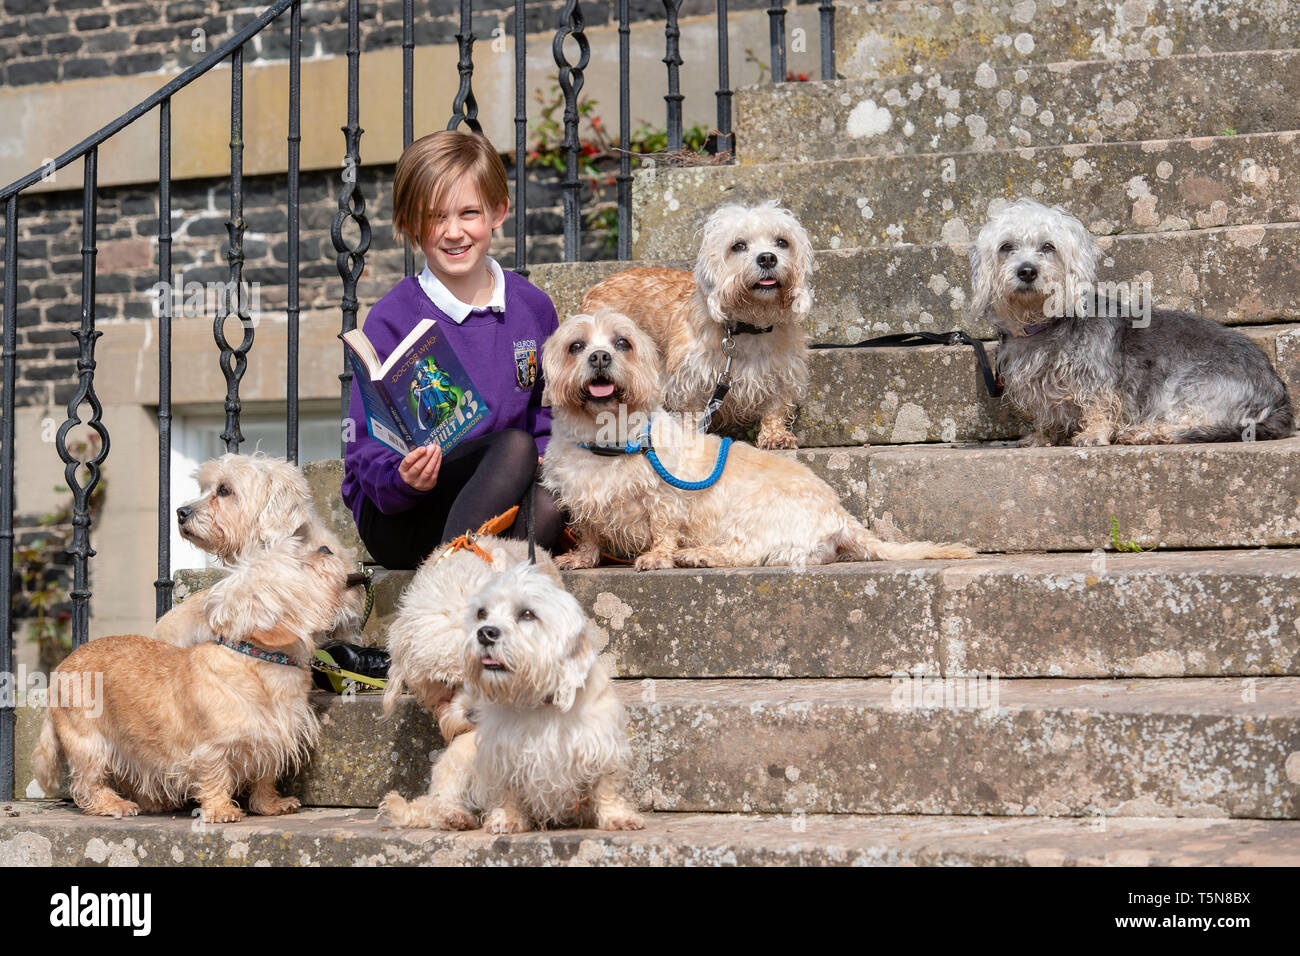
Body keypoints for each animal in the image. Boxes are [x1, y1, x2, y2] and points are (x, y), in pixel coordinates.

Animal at [379, 564, 642, 832]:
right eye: (482, 613)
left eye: (527, 613)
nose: (485, 633)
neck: (538, 701)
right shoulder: (500, 756)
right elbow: (506, 791)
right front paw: (506, 819)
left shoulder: (603, 747)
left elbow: (607, 788)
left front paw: (617, 817)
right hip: (456, 765)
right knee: (439, 803)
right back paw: (454, 816)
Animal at [538, 310, 977, 572]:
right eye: (576, 345)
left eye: (622, 343)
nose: (599, 357)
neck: (606, 438)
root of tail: (839, 517)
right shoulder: (580, 500)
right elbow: (589, 531)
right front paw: (582, 558)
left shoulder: (664, 498)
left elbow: (663, 528)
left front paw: (658, 556)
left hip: (748, 513)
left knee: (742, 552)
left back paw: (698, 554)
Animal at [582, 199, 811, 452]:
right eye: (738, 245)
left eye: (782, 242)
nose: (768, 258)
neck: (749, 326)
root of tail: (595, 288)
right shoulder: (692, 379)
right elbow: (691, 413)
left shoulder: (782, 373)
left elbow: (775, 407)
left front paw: (776, 436)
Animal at [972, 200, 1294, 447]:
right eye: (1006, 247)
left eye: (1048, 247)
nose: (1027, 271)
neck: (1044, 323)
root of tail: (1277, 390)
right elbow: (1045, 414)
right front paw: (1041, 437)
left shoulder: (1097, 379)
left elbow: (1098, 404)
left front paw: (1094, 434)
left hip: (1189, 389)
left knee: (1194, 424)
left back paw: (1145, 433)